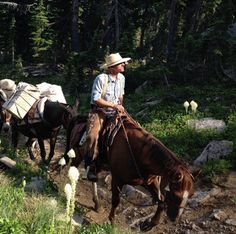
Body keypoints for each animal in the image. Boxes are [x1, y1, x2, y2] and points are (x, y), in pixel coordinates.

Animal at [63, 112, 195, 231]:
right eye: (175, 194)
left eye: (190, 195)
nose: (174, 218)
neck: (142, 153)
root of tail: (80, 119)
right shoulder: (117, 179)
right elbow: (116, 201)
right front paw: (111, 222)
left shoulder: (149, 182)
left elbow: (161, 201)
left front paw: (149, 224)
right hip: (77, 156)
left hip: (97, 164)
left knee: (93, 178)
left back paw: (97, 203)